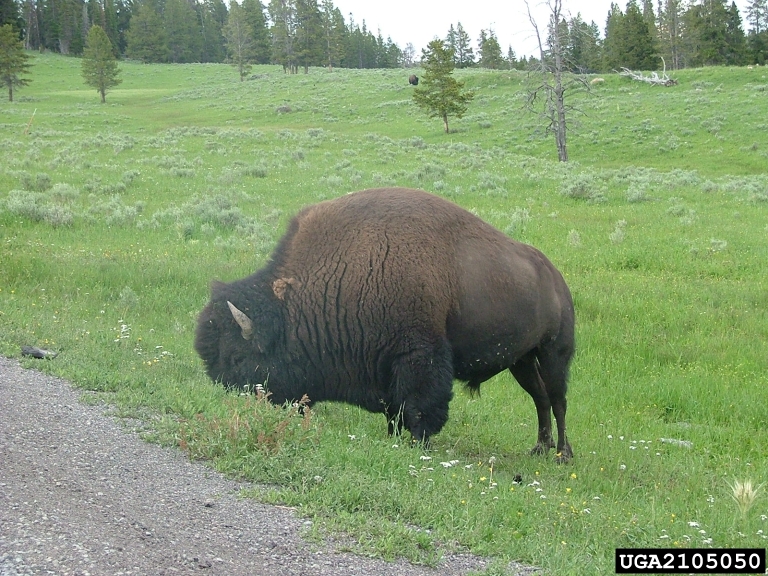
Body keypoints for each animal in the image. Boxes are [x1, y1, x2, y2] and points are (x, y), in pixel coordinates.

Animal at [195, 188, 574, 461]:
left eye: (237, 357)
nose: (231, 405)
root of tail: (556, 278)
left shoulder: (418, 357)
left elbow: (419, 408)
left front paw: (418, 445)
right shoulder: (383, 366)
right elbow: (394, 411)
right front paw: (393, 439)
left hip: (554, 353)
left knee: (557, 400)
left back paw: (561, 454)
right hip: (521, 361)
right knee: (540, 399)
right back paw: (539, 449)